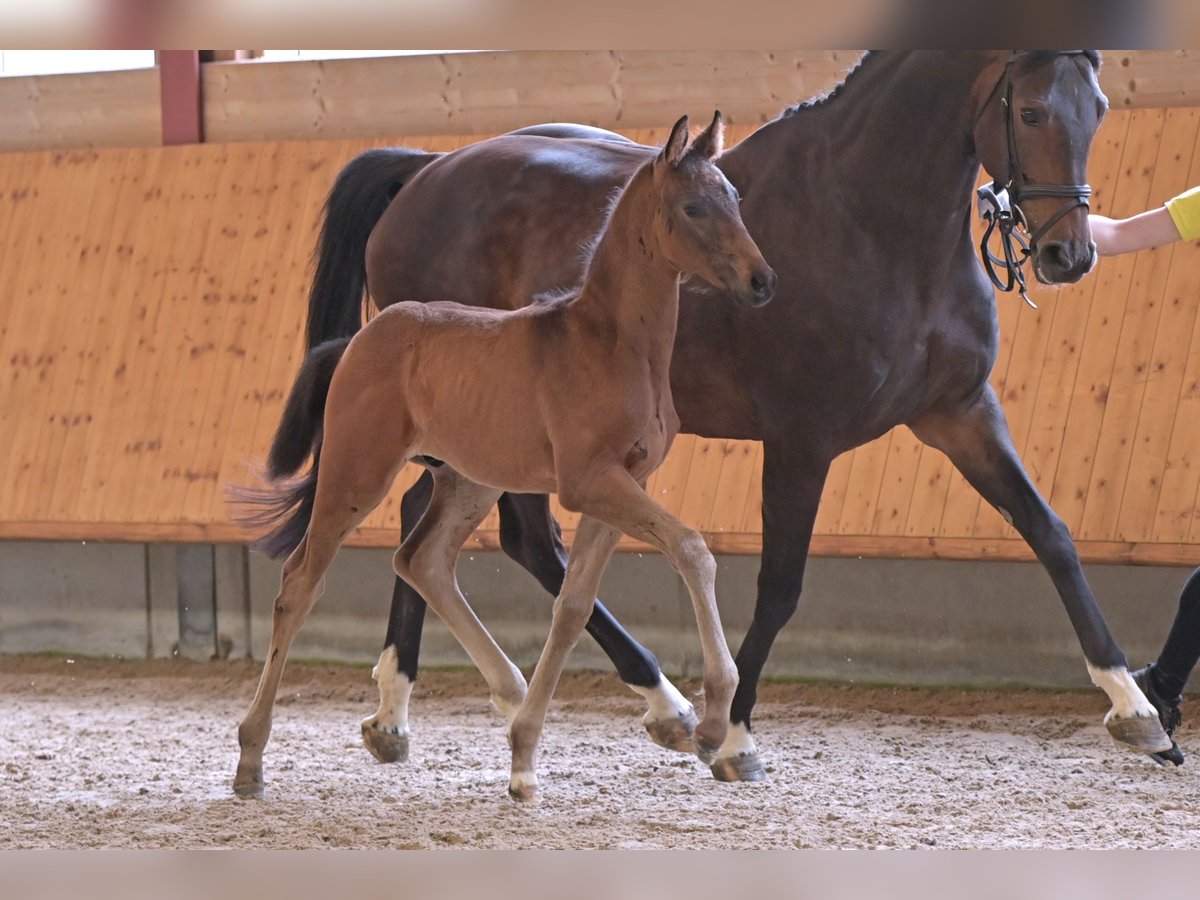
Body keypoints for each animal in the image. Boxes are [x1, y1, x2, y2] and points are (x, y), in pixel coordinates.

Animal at [234, 114, 777, 801]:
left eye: (734, 198)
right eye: (693, 207)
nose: (762, 281)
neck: (609, 342)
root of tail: (360, 338)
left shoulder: (621, 486)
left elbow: (572, 607)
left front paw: (524, 758)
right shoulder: (590, 482)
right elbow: (691, 549)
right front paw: (712, 725)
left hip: (470, 481)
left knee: (423, 560)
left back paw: (502, 695)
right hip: (356, 473)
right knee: (301, 582)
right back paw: (250, 760)